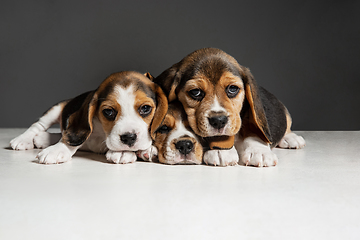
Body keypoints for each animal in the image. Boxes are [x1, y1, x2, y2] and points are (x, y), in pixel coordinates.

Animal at [10, 71, 168, 164]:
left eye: (145, 108)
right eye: (108, 112)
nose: (129, 138)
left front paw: (143, 150)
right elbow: (72, 138)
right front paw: (57, 150)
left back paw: (42, 139)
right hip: (57, 108)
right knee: (38, 125)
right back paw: (23, 139)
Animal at [153, 47, 306, 167]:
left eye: (232, 89)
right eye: (195, 92)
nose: (219, 121)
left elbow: (253, 131)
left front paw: (259, 151)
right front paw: (221, 150)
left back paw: (291, 138)